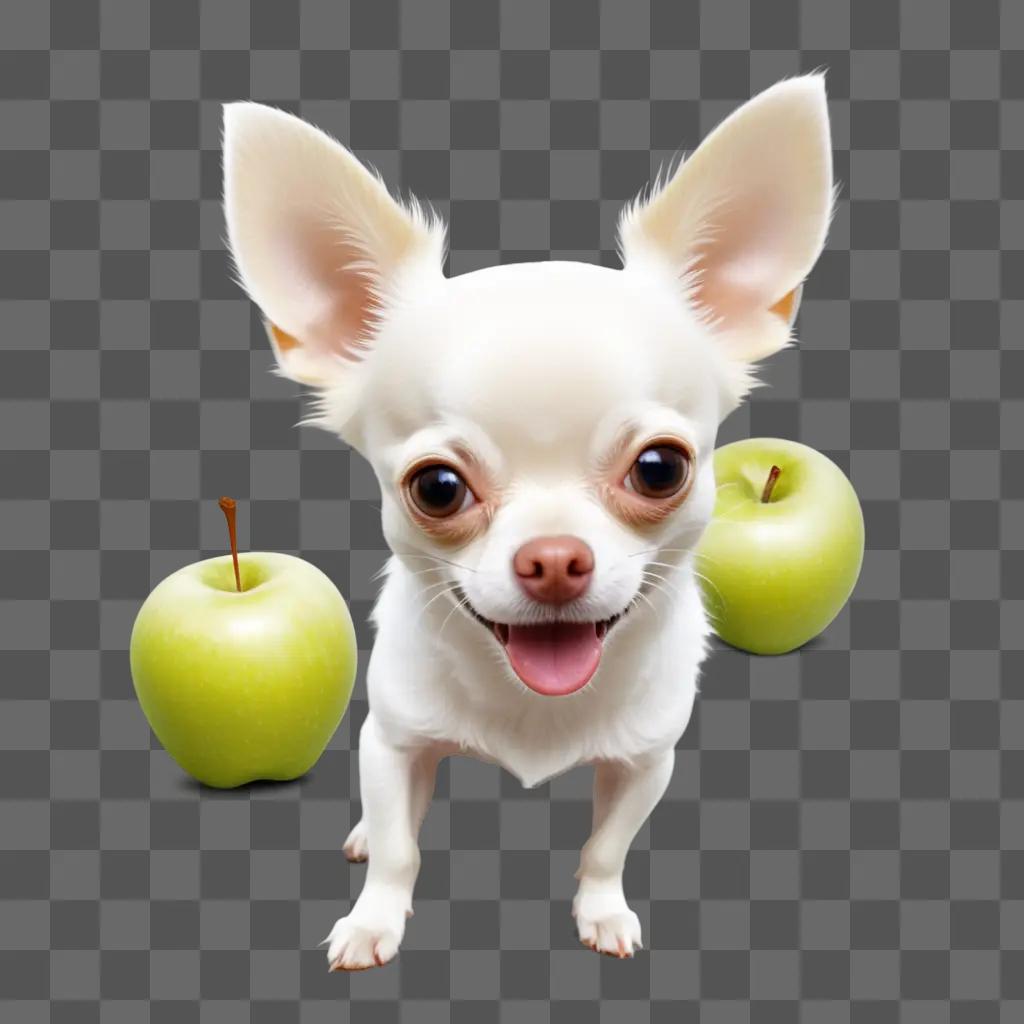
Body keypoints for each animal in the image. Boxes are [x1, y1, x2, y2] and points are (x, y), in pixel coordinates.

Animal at [224, 75, 831, 970]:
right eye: (437, 487)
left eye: (661, 468)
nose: (553, 560)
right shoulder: (392, 740)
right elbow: (402, 848)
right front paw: (373, 921)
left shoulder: (648, 760)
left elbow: (607, 847)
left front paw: (603, 911)